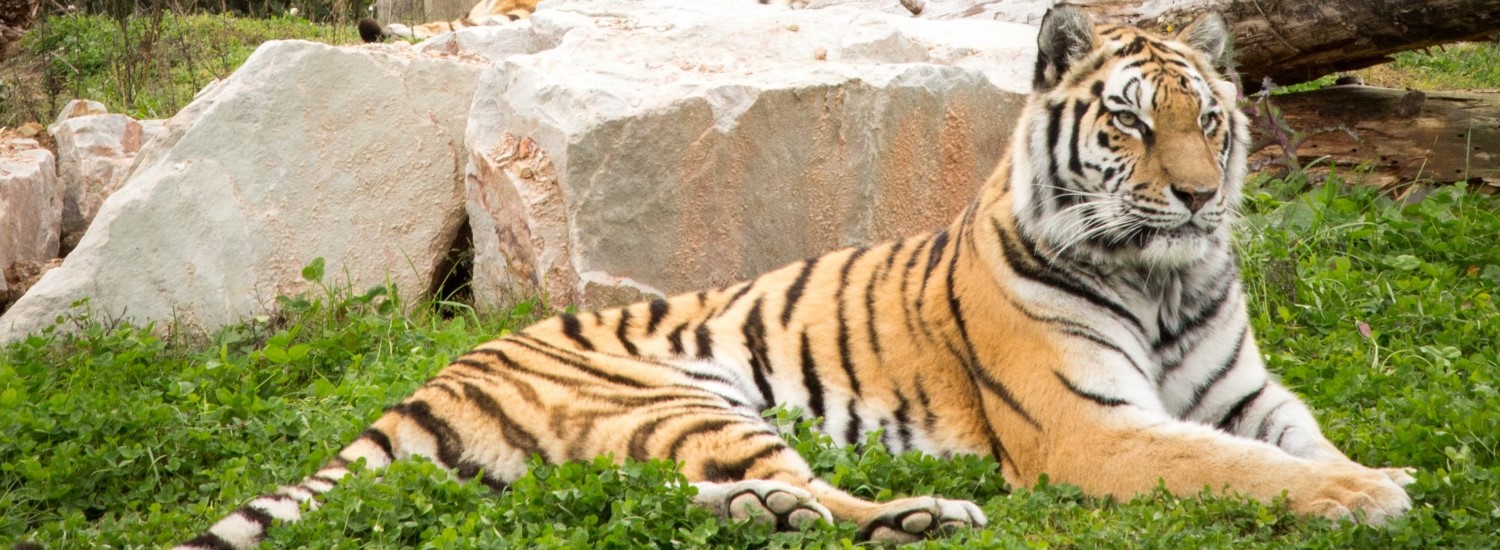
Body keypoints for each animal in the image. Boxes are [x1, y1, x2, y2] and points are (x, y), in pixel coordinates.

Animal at [178, 6, 1415, 548]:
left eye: (1208, 121)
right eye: (1131, 125)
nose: (1202, 198)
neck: (1164, 282)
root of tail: (442, 372)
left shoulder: (1248, 392)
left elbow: (1296, 441)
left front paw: (1376, 471)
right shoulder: (1089, 426)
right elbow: (1230, 467)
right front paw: (1371, 495)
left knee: (673, 497)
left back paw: (781, 507)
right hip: (680, 398)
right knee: (820, 497)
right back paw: (920, 514)